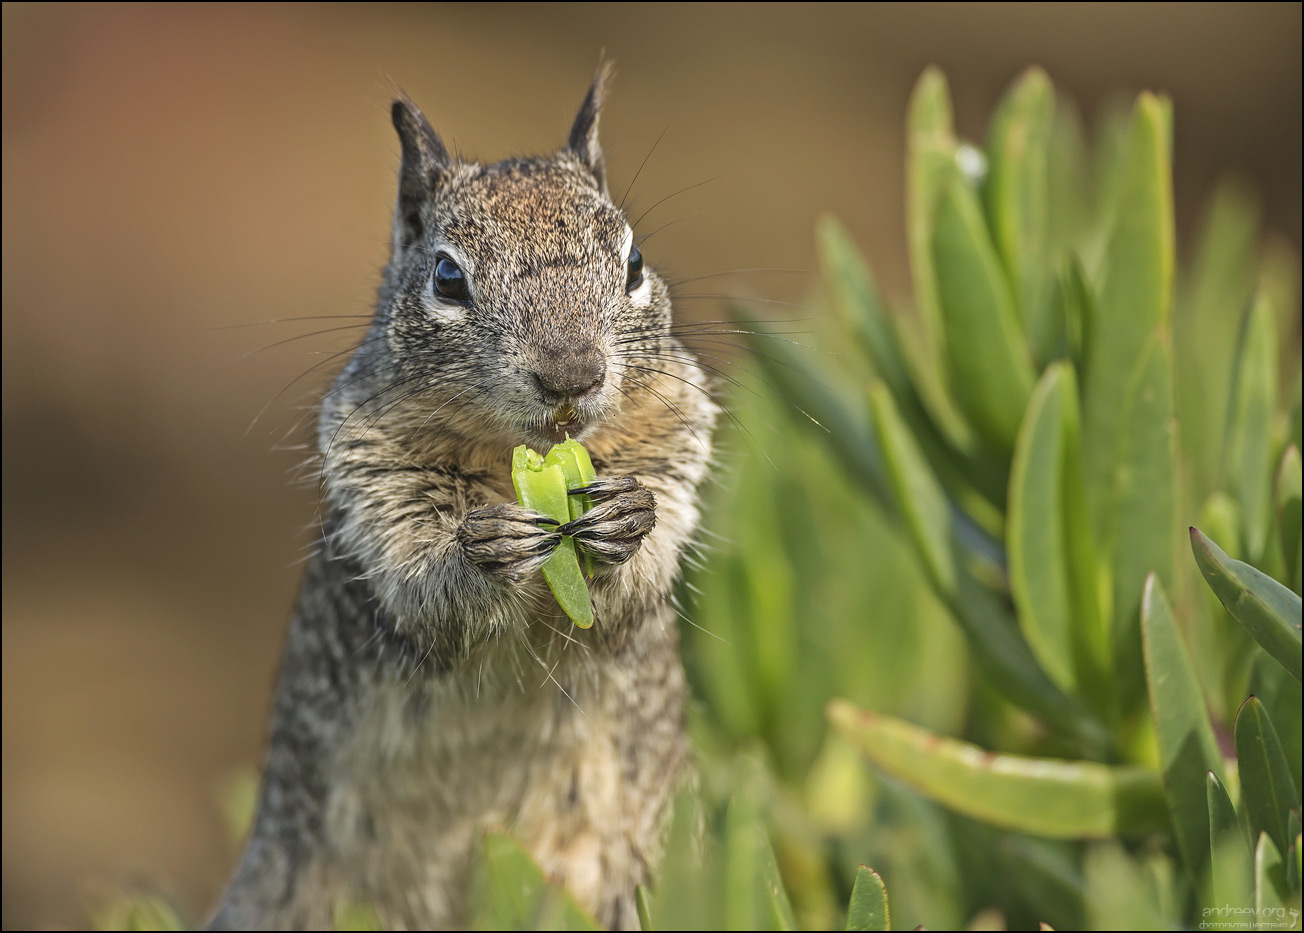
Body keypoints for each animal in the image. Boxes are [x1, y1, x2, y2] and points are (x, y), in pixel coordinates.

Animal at [208, 61, 719, 929]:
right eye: (448, 278)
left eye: (634, 262)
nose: (572, 373)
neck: (516, 457)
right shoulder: (372, 473)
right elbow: (424, 589)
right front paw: (481, 552)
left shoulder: (678, 434)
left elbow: (634, 585)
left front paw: (629, 521)